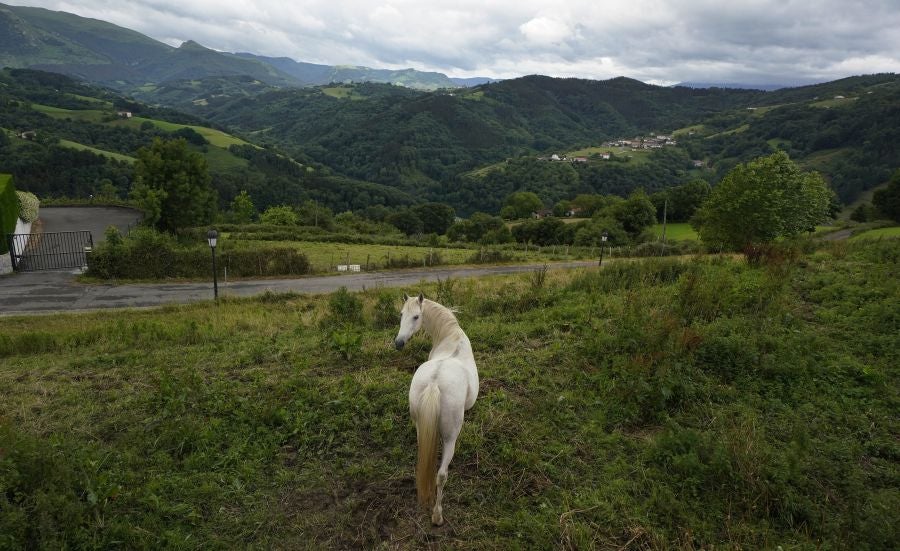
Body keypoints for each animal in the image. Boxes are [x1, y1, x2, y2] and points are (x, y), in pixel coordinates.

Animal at [394, 294, 478, 528]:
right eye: (401, 315)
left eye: (416, 316)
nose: (398, 343)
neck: (452, 338)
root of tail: (434, 383)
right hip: (450, 438)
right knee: (441, 475)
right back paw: (437, 516)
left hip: (419, 427)